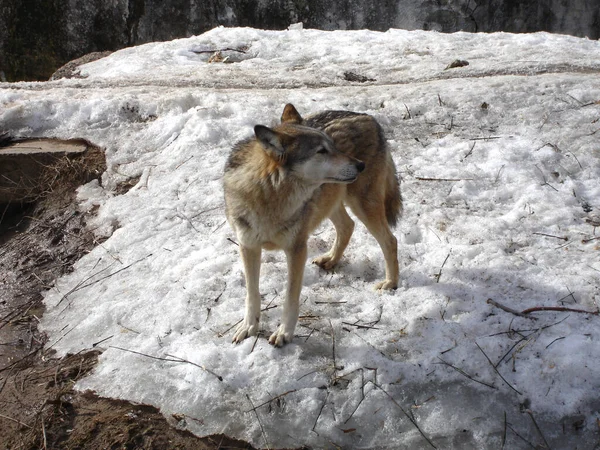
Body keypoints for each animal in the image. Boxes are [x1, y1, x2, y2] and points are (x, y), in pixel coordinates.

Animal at [223, 103, 400, 346]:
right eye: (322, 151)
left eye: (333, 146)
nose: (361, 165)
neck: (270, 198)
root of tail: (368, 117)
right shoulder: (247, 246)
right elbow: (252, 293)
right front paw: (248, 327)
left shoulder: (297, 249)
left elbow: (290, 297)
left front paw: (284, 333)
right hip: (332, 203)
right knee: (348, 226)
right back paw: (331, 260)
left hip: (363, 206)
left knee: (390, 240)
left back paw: (390, 283)